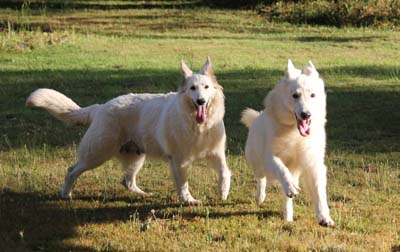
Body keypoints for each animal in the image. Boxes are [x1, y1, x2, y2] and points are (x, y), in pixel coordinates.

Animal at [26, 57, 231, 205]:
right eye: (192, 88)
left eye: (206, 87)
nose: (201, 101)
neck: (199, 126)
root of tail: (100, 107)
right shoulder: (179, 161)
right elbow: (183, 184)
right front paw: (189, 201)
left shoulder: (216, 154)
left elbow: (224, 172)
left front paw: (223, 192)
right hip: (97, 154)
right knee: (72, 171)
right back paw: (65, 194)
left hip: (135, 157)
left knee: (127, 181)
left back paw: (143, 194)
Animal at [241, 59, 334, 226]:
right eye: (295, 95)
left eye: (312, 95)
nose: (306, 114)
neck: (294, 133)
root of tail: (256, 118)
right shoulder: (270, 158)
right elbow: (281, 169)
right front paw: (290, 186)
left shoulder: (313, 163)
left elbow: (319, 193)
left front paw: (324, 217)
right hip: (257, 163)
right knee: (261, 179)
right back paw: (261, 196)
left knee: (286, 198)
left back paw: (288, 216)